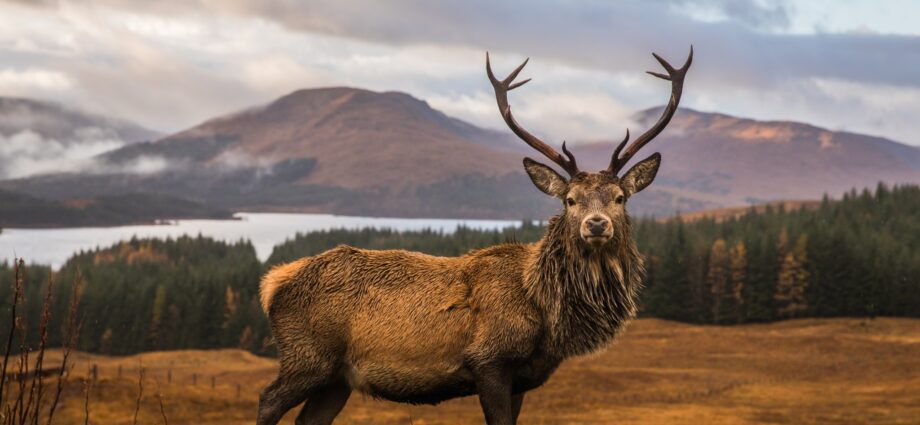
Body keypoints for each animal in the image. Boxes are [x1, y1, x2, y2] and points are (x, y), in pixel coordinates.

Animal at [256, 48, 688, 422]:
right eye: (569, 200)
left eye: (620, 197)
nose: (596, 224)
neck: (546, 313)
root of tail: (272, 283)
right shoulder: (489, 359)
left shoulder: (522, 380)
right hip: (307, 356)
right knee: (267, 400)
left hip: (337, 379)